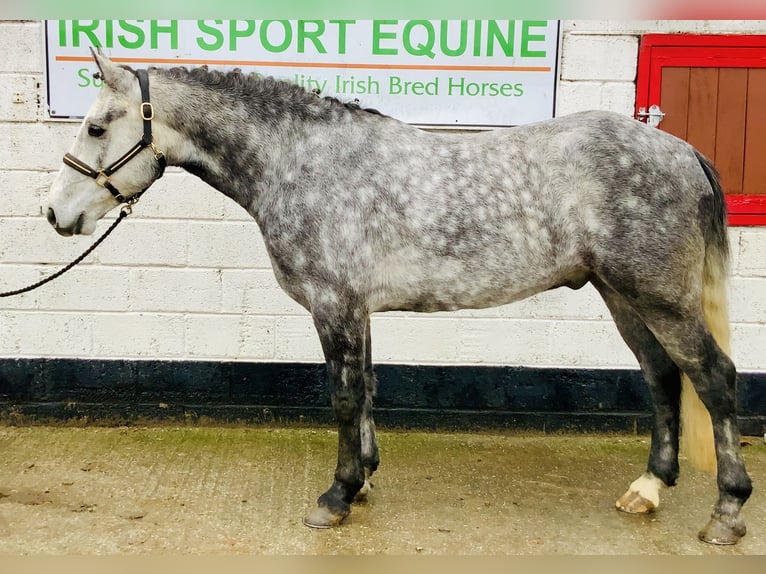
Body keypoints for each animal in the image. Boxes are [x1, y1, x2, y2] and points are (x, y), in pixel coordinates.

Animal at [46, 50, 752, 546]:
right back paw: (649, 488)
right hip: (623, 295)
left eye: (96, 126)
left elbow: (342, 395)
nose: (56, 215)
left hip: (658, 296)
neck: (303, 163)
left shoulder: (333, 305)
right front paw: (361, 480)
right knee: (663, 375)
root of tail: (681, 149)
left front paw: (336, 496)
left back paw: (726, 511)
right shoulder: (356, 310)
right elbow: (366, 390)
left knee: (713, 377)